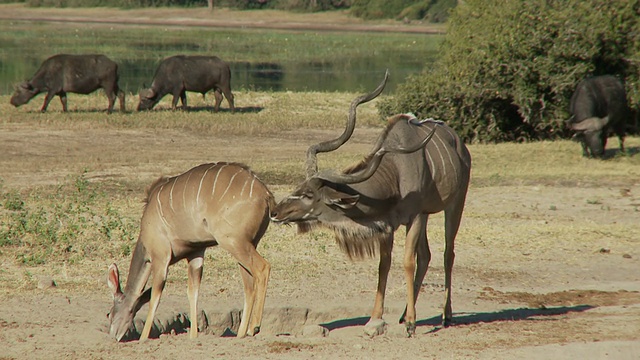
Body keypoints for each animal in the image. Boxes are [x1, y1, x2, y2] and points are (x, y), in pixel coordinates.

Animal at [105, 162, 276, 342]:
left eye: (109, 314)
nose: (113, 336)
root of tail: (266, 194)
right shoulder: (196, 253)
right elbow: (193, 292)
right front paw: (193, 335)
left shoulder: (160, 257)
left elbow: (155, 297)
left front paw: (143, 338)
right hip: (247, 245)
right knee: (248, 286)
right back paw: (241, 333)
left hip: (234, 242)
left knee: (263, 268)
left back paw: (253, 327)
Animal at [268, 71, 472, 336]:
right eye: (299, 187)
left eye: (309, 195)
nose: (274, 212)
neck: (395, 172)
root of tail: (460, 144)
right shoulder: (388, 225)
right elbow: (384, 265)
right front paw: (377, 318)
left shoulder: (415, 217)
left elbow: (407, 261)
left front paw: (412, 324)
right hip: (428, 215)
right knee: (426, 255)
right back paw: (405, 314)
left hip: (455, 204)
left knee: (448, 253)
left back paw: (445, 315)